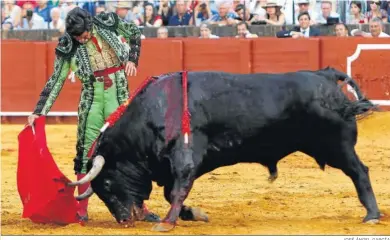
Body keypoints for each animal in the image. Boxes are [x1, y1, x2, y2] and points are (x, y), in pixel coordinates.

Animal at [67, 66, 380, 232]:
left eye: (108, 183)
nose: (124, 220)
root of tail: (324, 74)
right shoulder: (171, 165)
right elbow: (172, 193)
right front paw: (195, 214)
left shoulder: (185, 158)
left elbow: (178, 190)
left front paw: (167, 223)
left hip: (337, 146)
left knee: (360, 172)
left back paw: (372, 215)